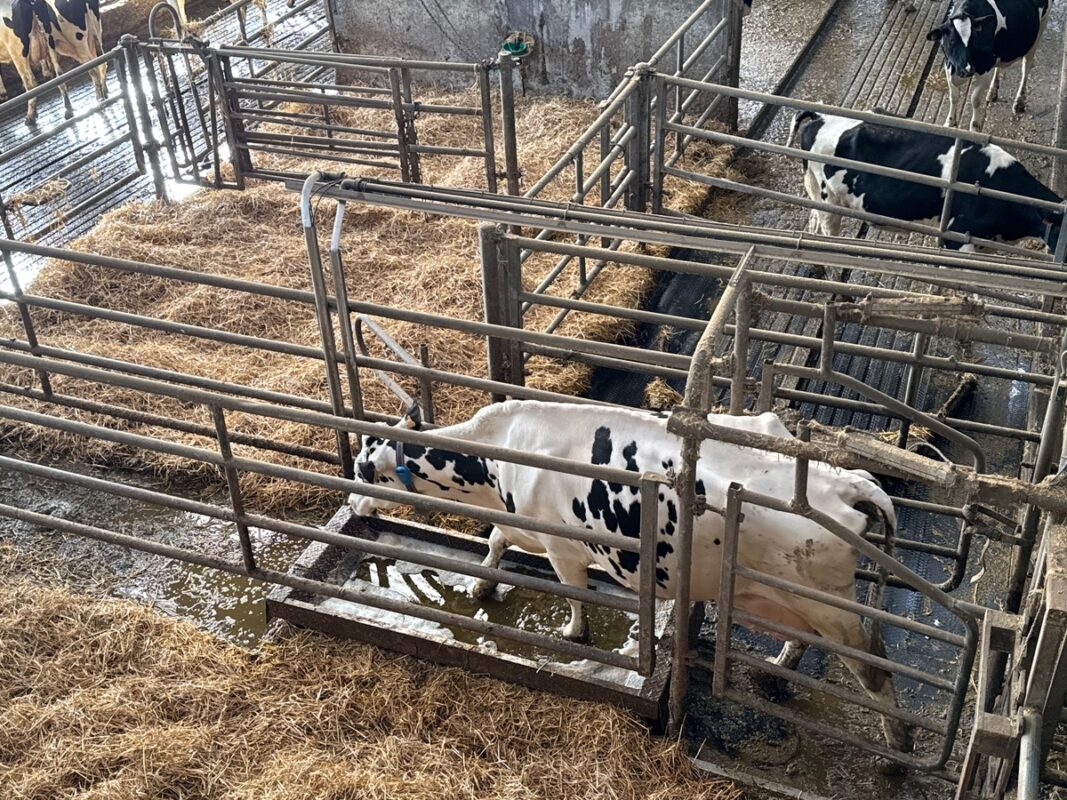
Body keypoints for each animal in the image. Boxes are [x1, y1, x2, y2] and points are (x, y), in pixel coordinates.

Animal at [348, 400, 914, 756]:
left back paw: (897, 747)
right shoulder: (517, 522)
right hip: (791, 596)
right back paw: (778, 668)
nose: (352, 503)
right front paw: (482, 585)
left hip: (829, 601)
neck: (497, 459)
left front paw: (573, 636)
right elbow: (495, 542)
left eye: (361, 470)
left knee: (875, 668)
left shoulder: (562, 546)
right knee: (807, 639)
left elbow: (573, 596)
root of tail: (849, 481)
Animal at [788, 110, 1063, 253]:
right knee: (828, 230)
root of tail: (820, 117)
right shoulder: (955, 237)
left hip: (816, 190)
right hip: (830, 203)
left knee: (814, 220)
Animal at [927, 0, 1051, 131]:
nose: (968, 70)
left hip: (1039, 30)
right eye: (952, 41)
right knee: (999, 67)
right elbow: (953, 96)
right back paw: (992, 92)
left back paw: (1019, 102)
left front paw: (974, 127)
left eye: (974, 39)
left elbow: (975, 99)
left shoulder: (985, 69)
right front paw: (949, 122)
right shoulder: (949, 65)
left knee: (1026, 68)